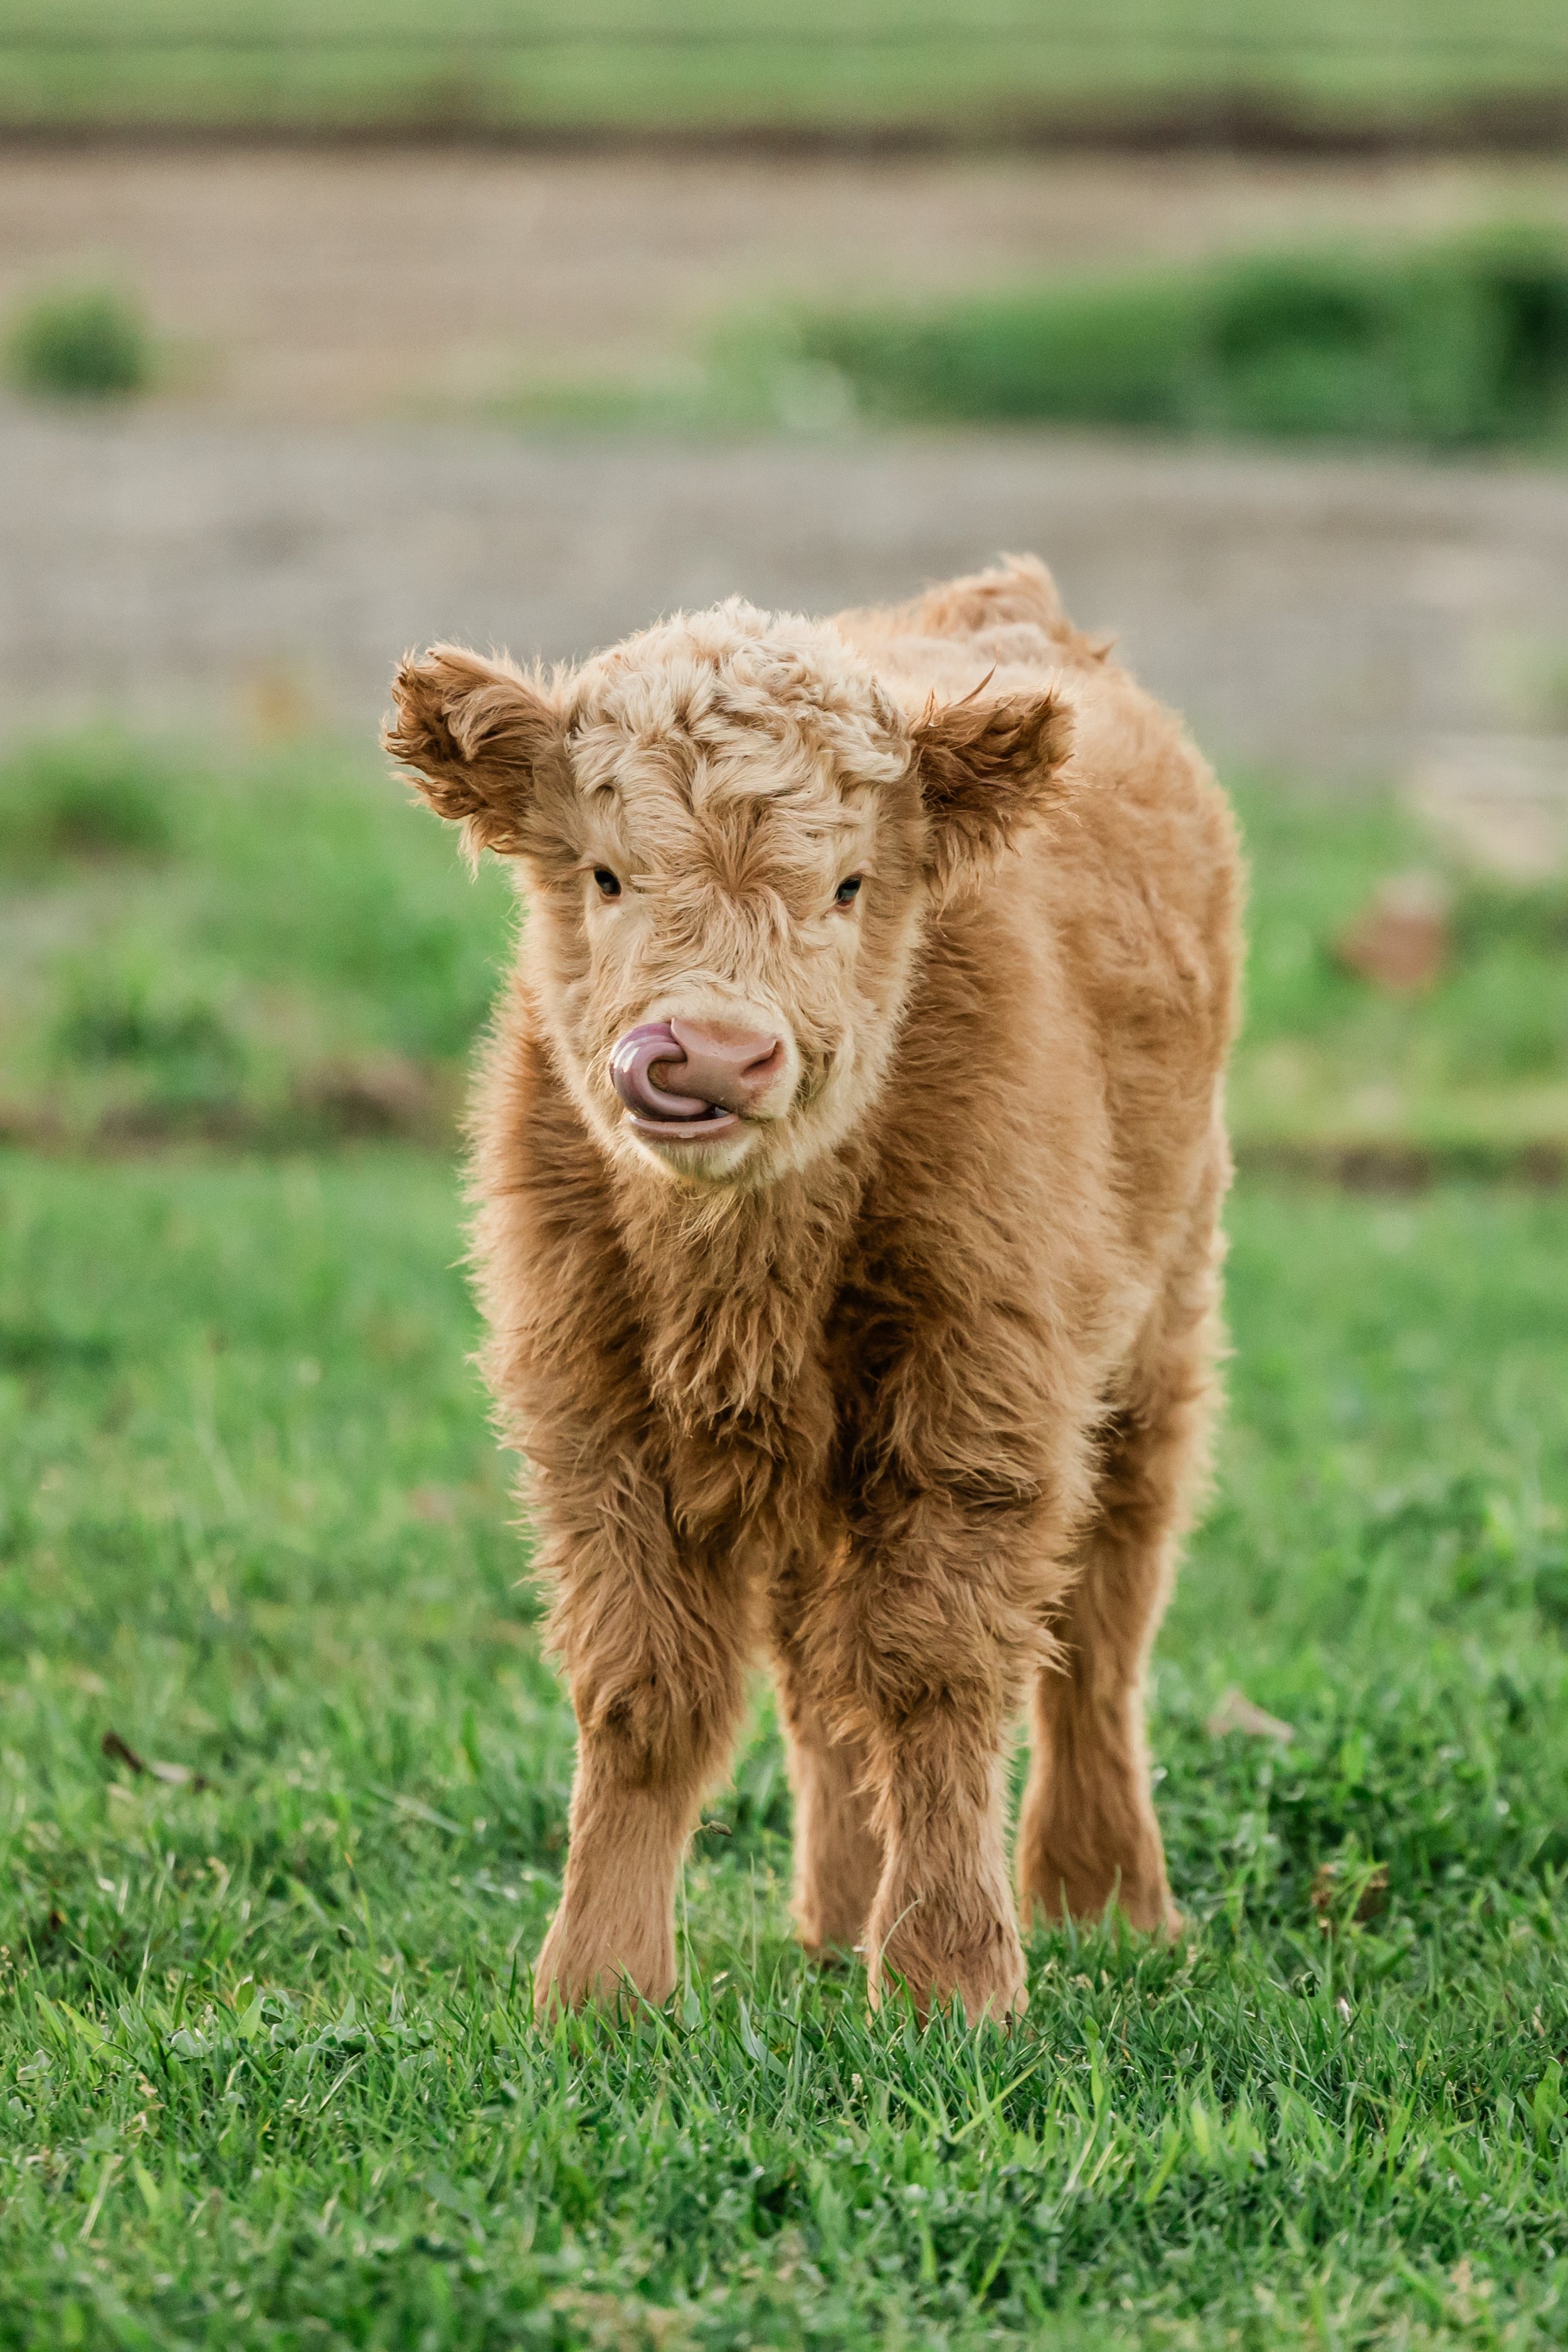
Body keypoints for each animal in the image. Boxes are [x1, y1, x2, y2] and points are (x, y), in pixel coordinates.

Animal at [385, 556, 1242, 2024]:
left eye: (847, 884)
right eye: (608, 873)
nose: (709, 1054)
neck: (744, 1271)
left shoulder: (980, 1409)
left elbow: (938, 1673)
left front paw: (951, 1976)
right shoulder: (594, 1419)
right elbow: (646, 1692)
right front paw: (598, 1982)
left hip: (1154, 1340)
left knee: (1099, 1627)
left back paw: (1102, 1895)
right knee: (819, 1666)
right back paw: (840, 1913)